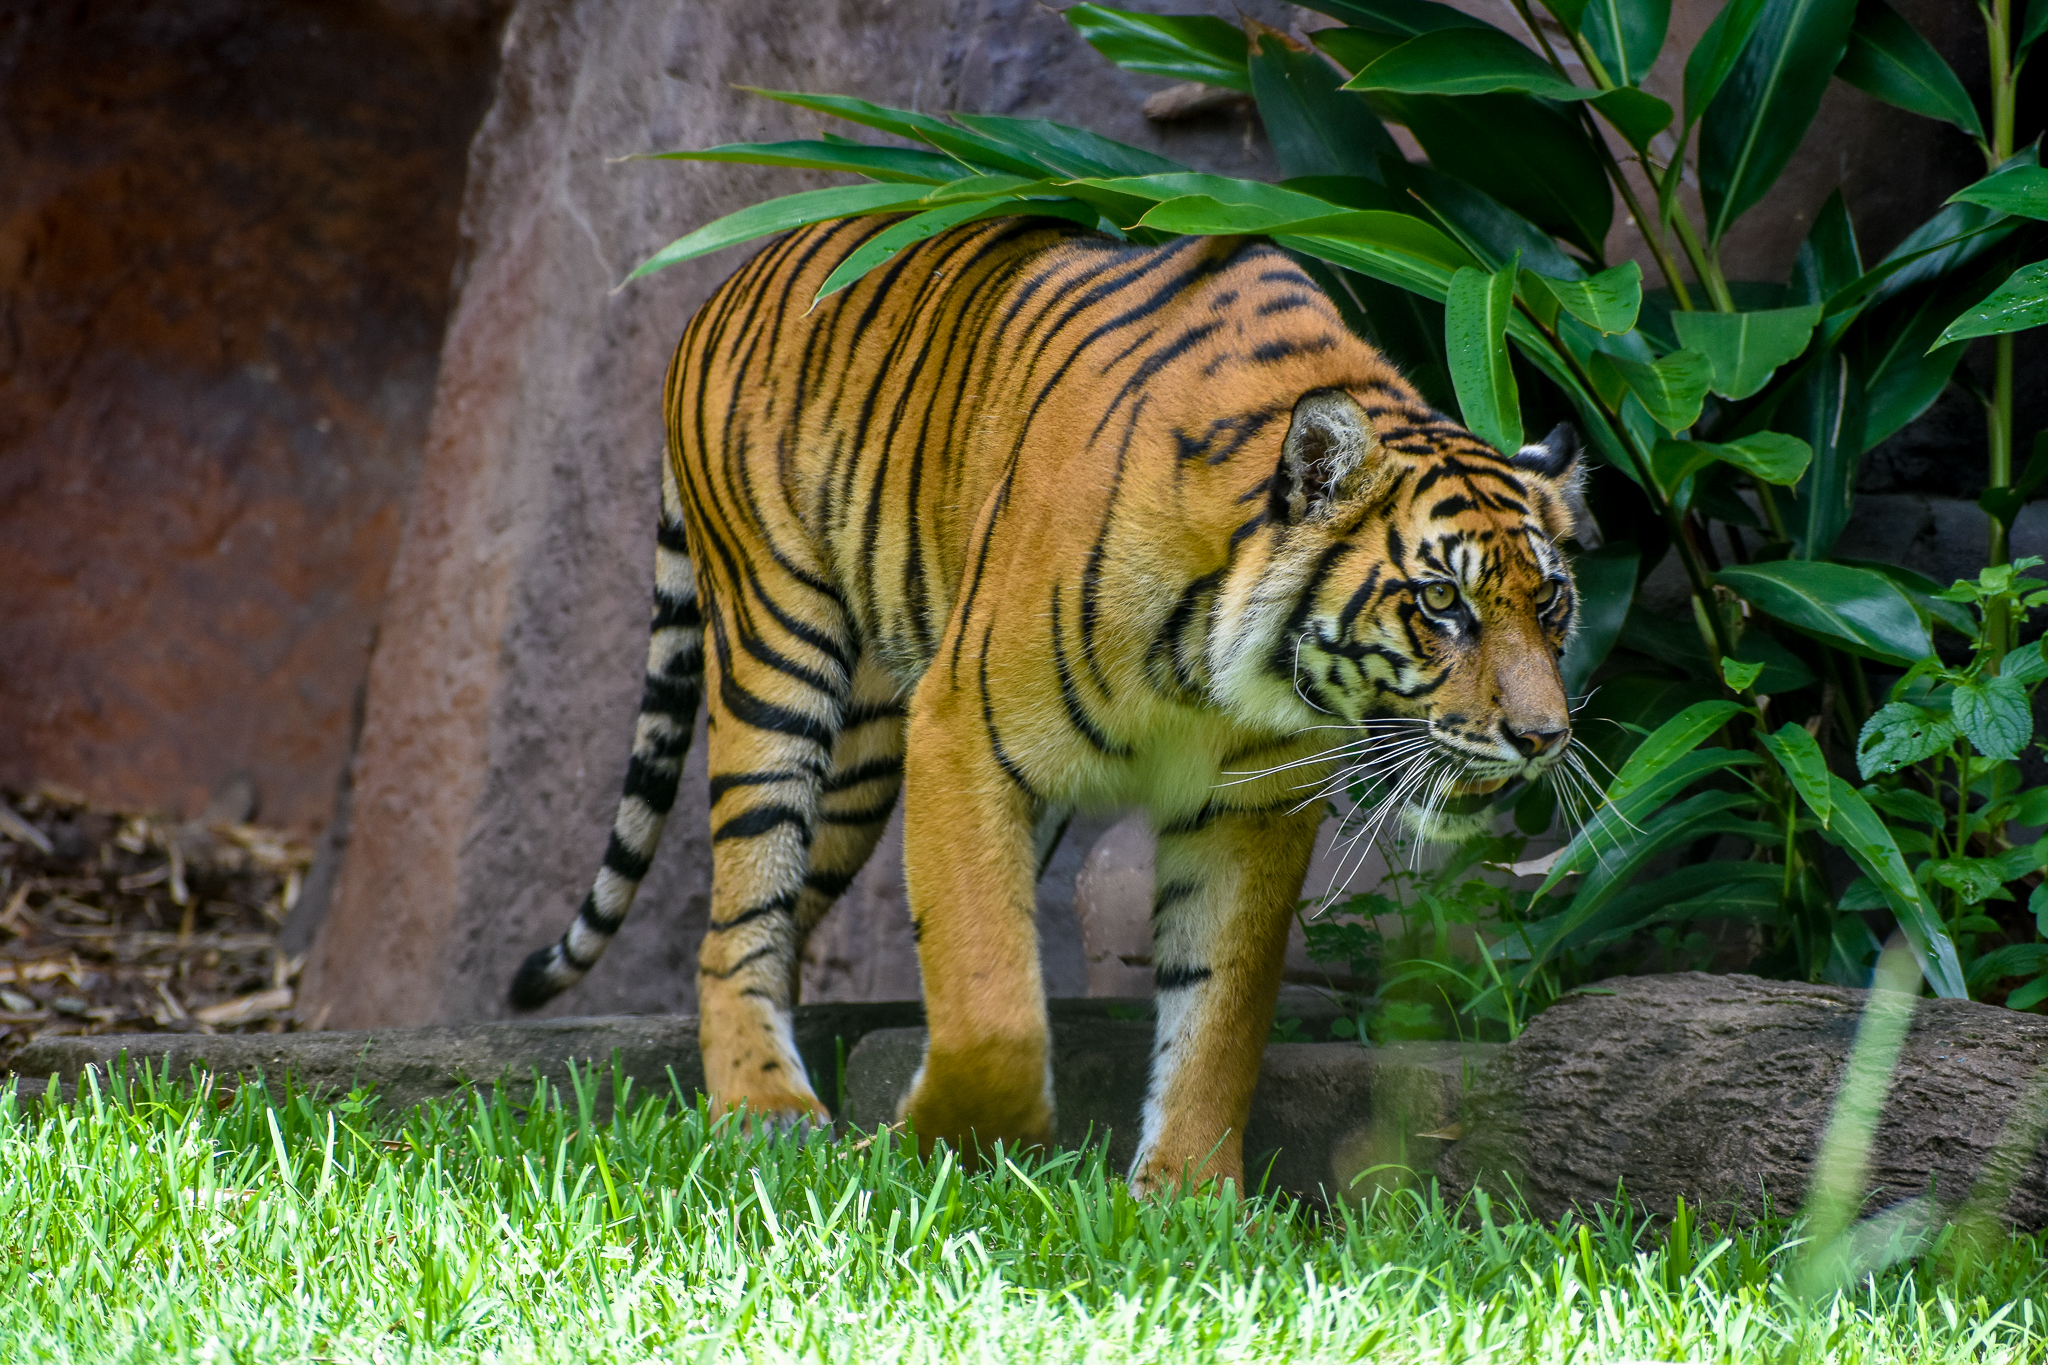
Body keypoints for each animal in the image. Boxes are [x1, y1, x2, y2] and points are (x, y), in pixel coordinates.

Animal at [508, 212, 1581, 1194]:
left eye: (1551, 602)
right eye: (1441, 602)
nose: (1544, 737)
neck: (1219, 671)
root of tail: (730, 278)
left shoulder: (1250, 806)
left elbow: (1219, 1008)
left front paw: (1187, 1198)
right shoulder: (964, 734)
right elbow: (991, 998)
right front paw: (930, 1140)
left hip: (865, 753)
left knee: (781, 914)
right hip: (778, 654)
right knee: (736, 914)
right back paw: (768, 1108)